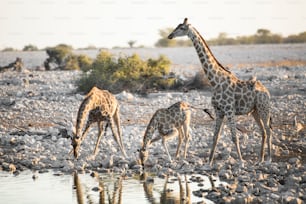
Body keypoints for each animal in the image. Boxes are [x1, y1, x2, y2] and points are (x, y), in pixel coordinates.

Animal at [169, 18, 272, 166]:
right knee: (263, 131)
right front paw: (209, 162)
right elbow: (215, 137)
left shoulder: (229, 110)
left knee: (268, 131)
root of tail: (266, 91)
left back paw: (269, 159)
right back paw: (261, 159)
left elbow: (234, 137)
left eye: (182, 28)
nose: (170, 35)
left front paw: (241, 161)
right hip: (255, 111)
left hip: (264, 108)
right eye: (177, 26)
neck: (215, 82)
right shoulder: (218, 110)